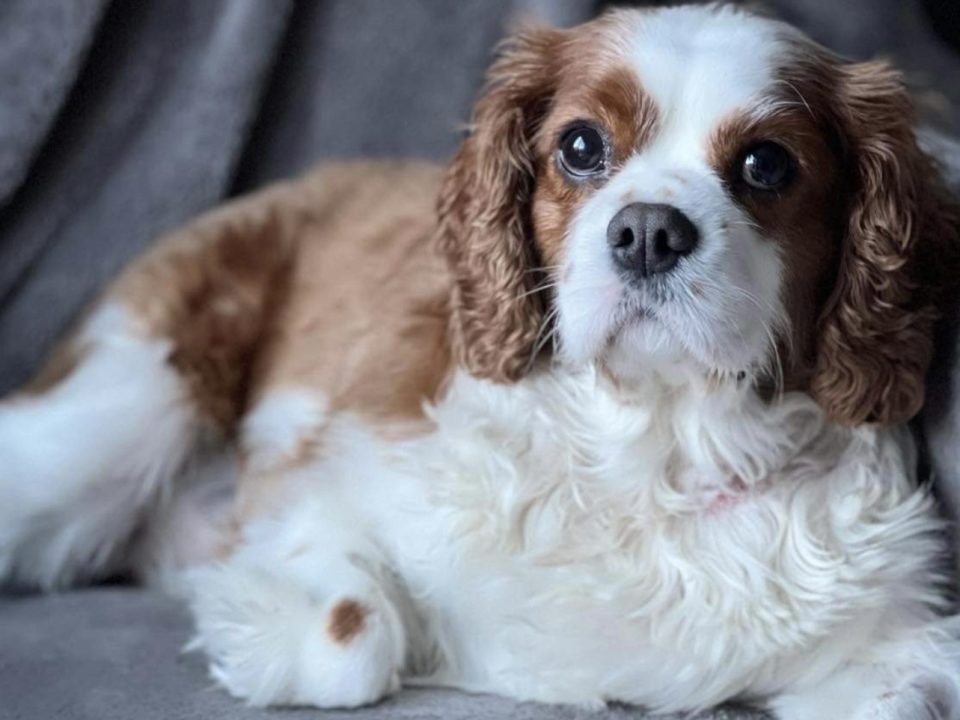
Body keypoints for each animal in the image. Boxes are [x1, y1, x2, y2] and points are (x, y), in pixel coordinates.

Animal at [1, 5, 960, 720]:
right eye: (580, 146)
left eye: (766, 163)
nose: (649, 232)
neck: (649, 457)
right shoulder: (320, 483)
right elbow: (351, 637)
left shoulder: (897, 653)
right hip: (121, 414)